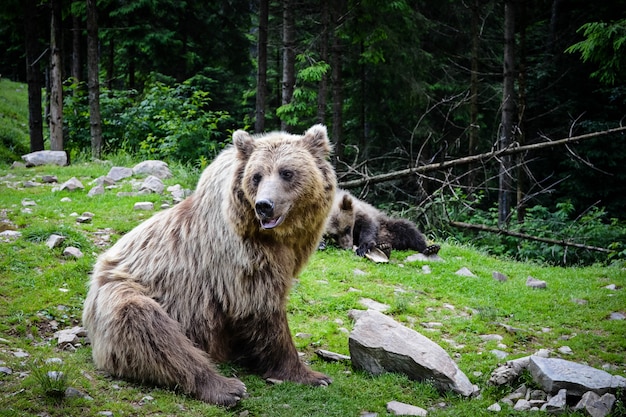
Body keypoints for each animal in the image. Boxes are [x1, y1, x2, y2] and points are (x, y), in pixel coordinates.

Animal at [84, 125, 336, 404]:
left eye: (287, 172)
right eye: (257, 176)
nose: (264, 206)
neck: (277, 237)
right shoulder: (241, 258)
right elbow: (262, 308)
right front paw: (310, 375)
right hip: (122, 293)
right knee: (148, 326)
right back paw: (226, 387)